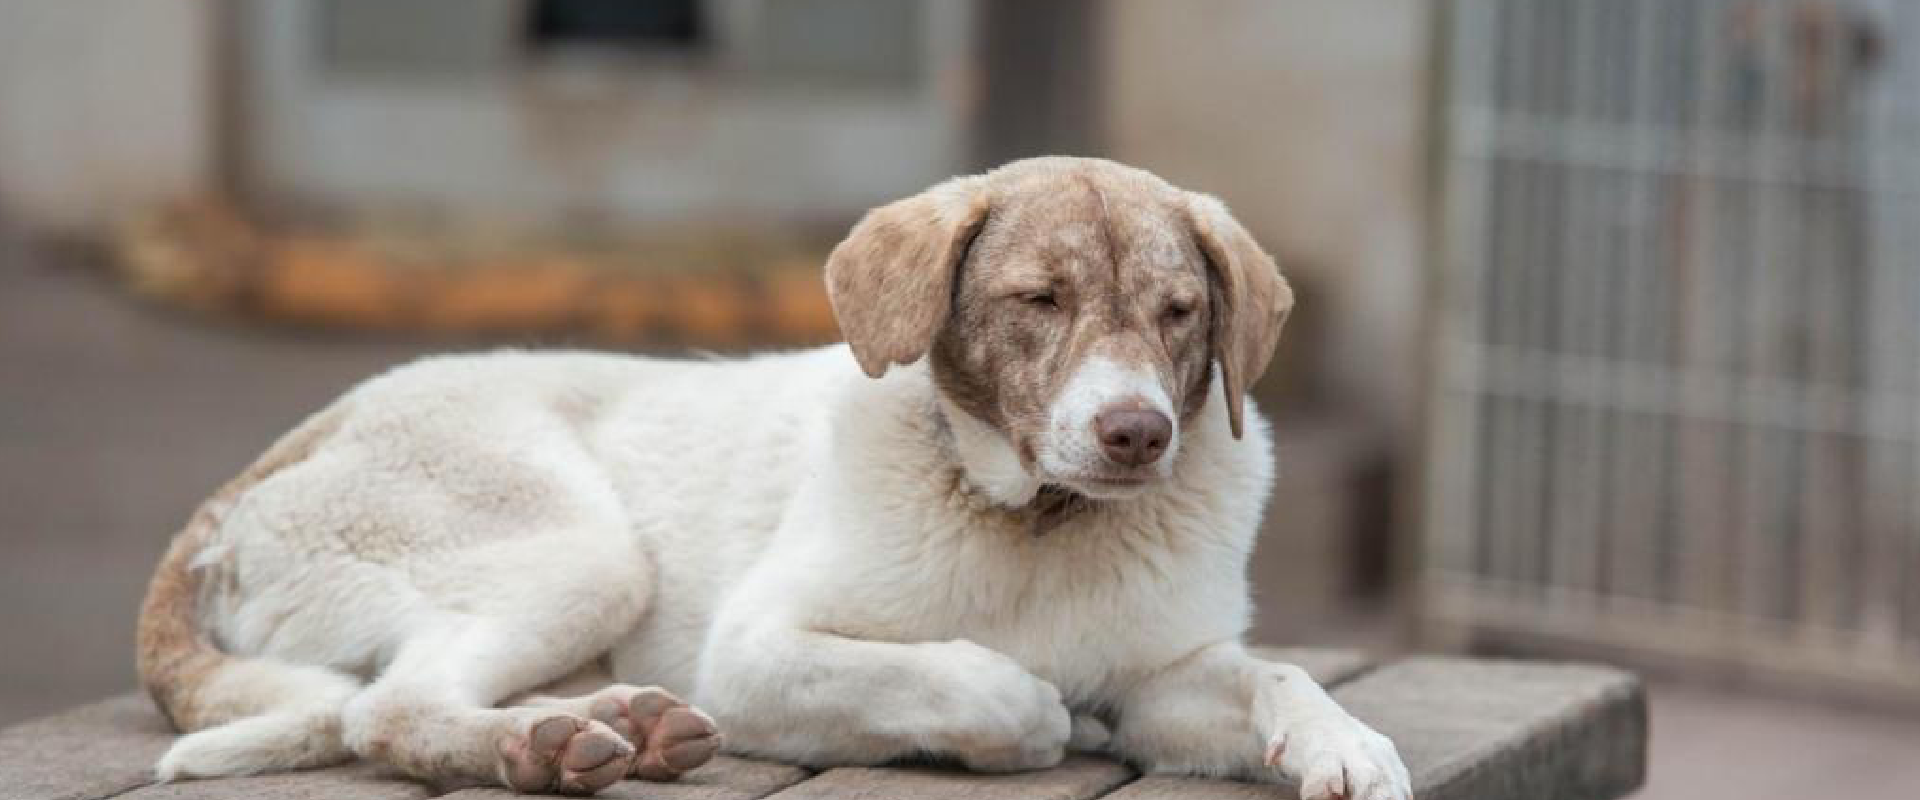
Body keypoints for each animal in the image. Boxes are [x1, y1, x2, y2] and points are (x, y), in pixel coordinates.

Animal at [136, 157, 1410, 800]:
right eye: (1039, 298)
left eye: (1180, 311)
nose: (1137, 433)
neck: (1035, 526)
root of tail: (259, 470)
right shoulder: (753, 650)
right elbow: (978, 679)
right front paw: (1030, 715)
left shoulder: (1167, 677)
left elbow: (1280, 674)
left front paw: (1346, 742)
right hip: (587, 552)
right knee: (383, 707)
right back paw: (541, 747)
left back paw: (614, 724)